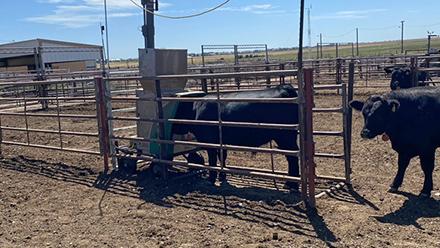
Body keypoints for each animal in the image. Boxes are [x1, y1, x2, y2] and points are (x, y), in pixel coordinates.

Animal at [172, 85, 300, 190]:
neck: (195, 108)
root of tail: (283, 87)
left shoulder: (209, 141)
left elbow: (213, 160)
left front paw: (211, 179)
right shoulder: (221, 141)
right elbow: (222, 157)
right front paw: (222, 176)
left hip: (285, 137)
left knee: (292, 157)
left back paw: (291, 184)